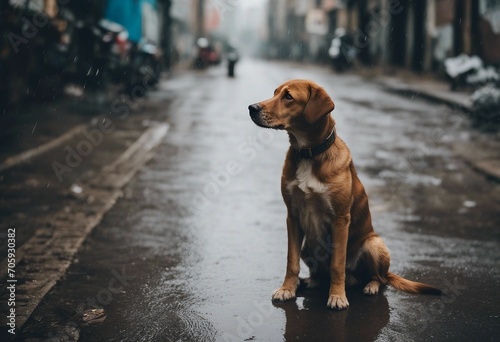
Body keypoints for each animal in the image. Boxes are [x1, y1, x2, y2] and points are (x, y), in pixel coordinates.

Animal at [248, 79, 440, 310]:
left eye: (288, 97)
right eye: (274, 93)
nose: (252, 108)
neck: (309, 154)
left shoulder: (340, 219)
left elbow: (337, 264)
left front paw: (337, 296)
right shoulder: (292, 216)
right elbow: (291, 261)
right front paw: (287, 288)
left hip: (373, 244)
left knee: (380, 278)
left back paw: (369, 286)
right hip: (307, 246)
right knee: (320, 272)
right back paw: (312, 281)